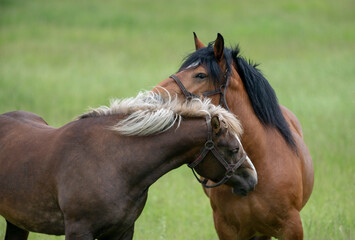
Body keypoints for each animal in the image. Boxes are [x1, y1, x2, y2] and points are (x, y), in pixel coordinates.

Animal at [0, 91, 258, 239]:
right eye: (233, 149)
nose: (253, 179)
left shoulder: (122, 231)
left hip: (17, 223)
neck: (113, 163)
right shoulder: (78, 231)